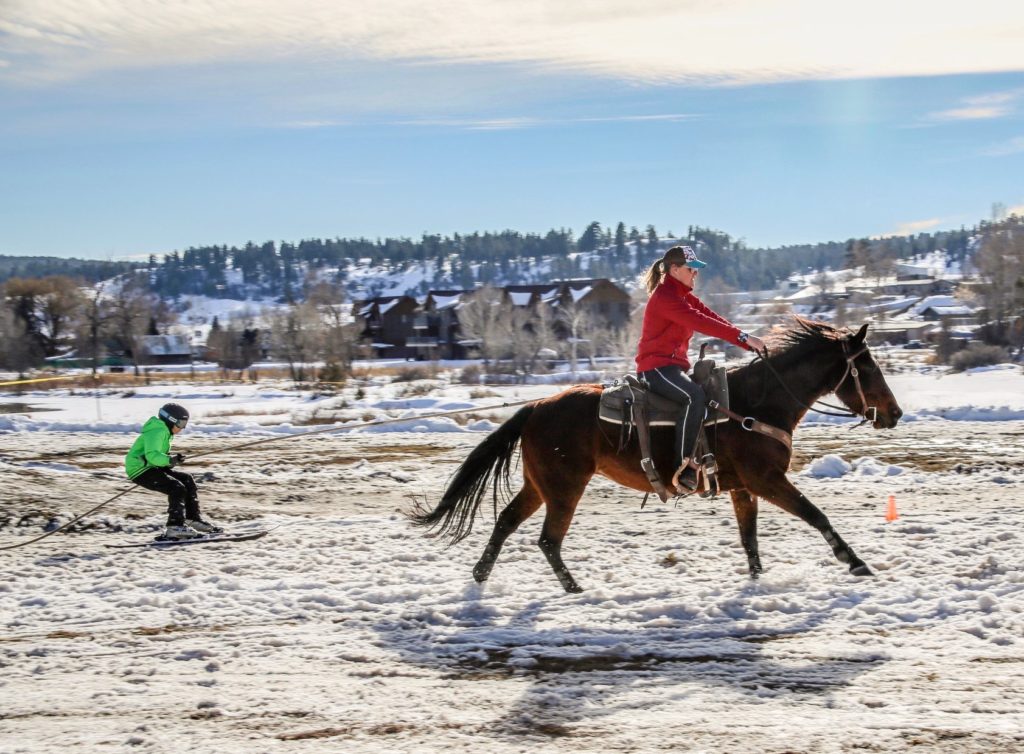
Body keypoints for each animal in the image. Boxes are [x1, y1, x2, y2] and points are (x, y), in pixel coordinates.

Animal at [407, 315, 905, 590]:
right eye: (867, 367)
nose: (895, 413)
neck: (757, 403)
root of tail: (536, 407)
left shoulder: (743, 488)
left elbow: (749, 539)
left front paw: (757, 582)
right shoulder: (768, 480)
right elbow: (817, 515)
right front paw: (856, 563)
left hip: (539, 485)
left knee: (507, 523)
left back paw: (480, 579)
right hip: (565, 488)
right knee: (548, 540)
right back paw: (574, 590)